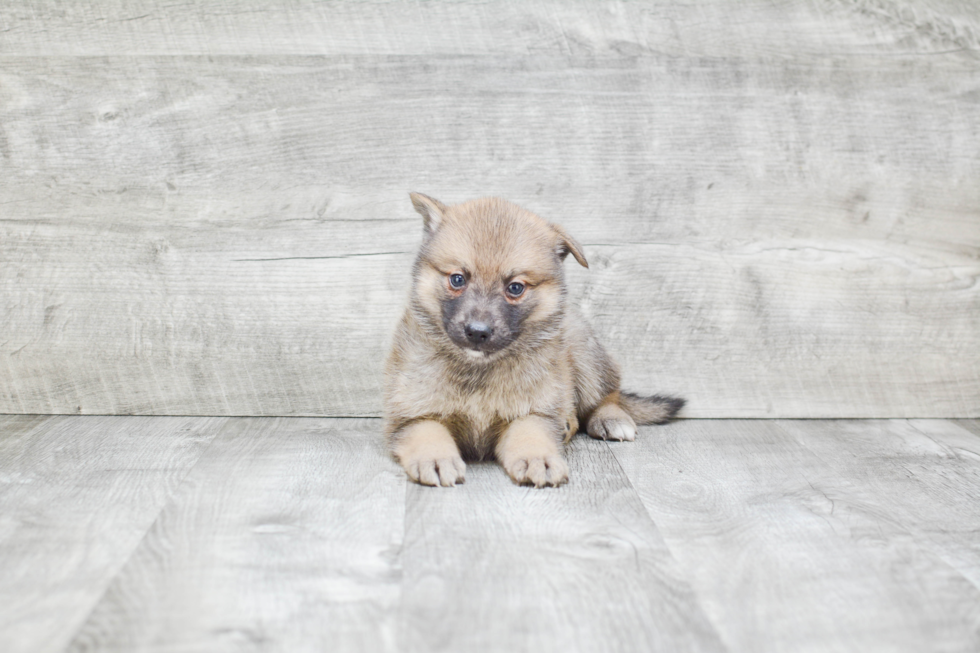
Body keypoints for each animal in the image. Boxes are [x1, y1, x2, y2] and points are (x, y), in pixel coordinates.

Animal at [382, 191, 680, 486]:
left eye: (515, 287)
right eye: (457, 279)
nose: (477, 331)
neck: (479, 370)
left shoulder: (532, 412)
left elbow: (530, 435)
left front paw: (538, 459)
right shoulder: (412, 417)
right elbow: (428, 434)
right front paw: (435, 459)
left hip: (586, 356)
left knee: (608, 395)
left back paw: (609, 419)